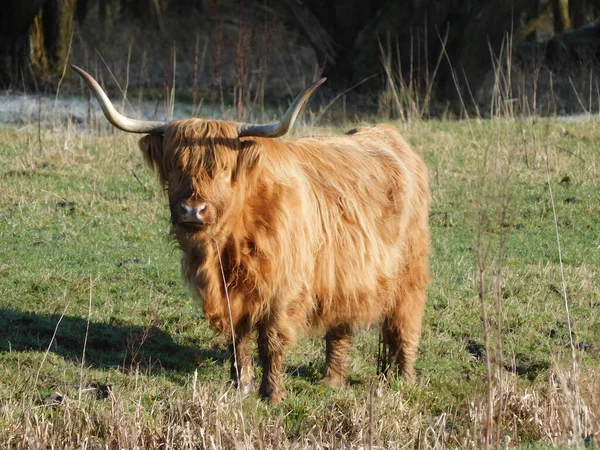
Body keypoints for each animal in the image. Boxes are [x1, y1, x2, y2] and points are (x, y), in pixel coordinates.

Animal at [74, 65, 432, 406]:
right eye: (176, 166)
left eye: (222, 169)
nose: (192, 210)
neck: (228, 244)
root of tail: (388, 135)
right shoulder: (231, 294)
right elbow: (238, 336)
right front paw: (240, 384)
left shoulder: (285, 289)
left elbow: (271, 339)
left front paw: (271, 393)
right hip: (344, 276)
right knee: (340, 328)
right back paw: (331, 380)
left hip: (410, 275)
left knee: (404, 326)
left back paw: (404, 381)